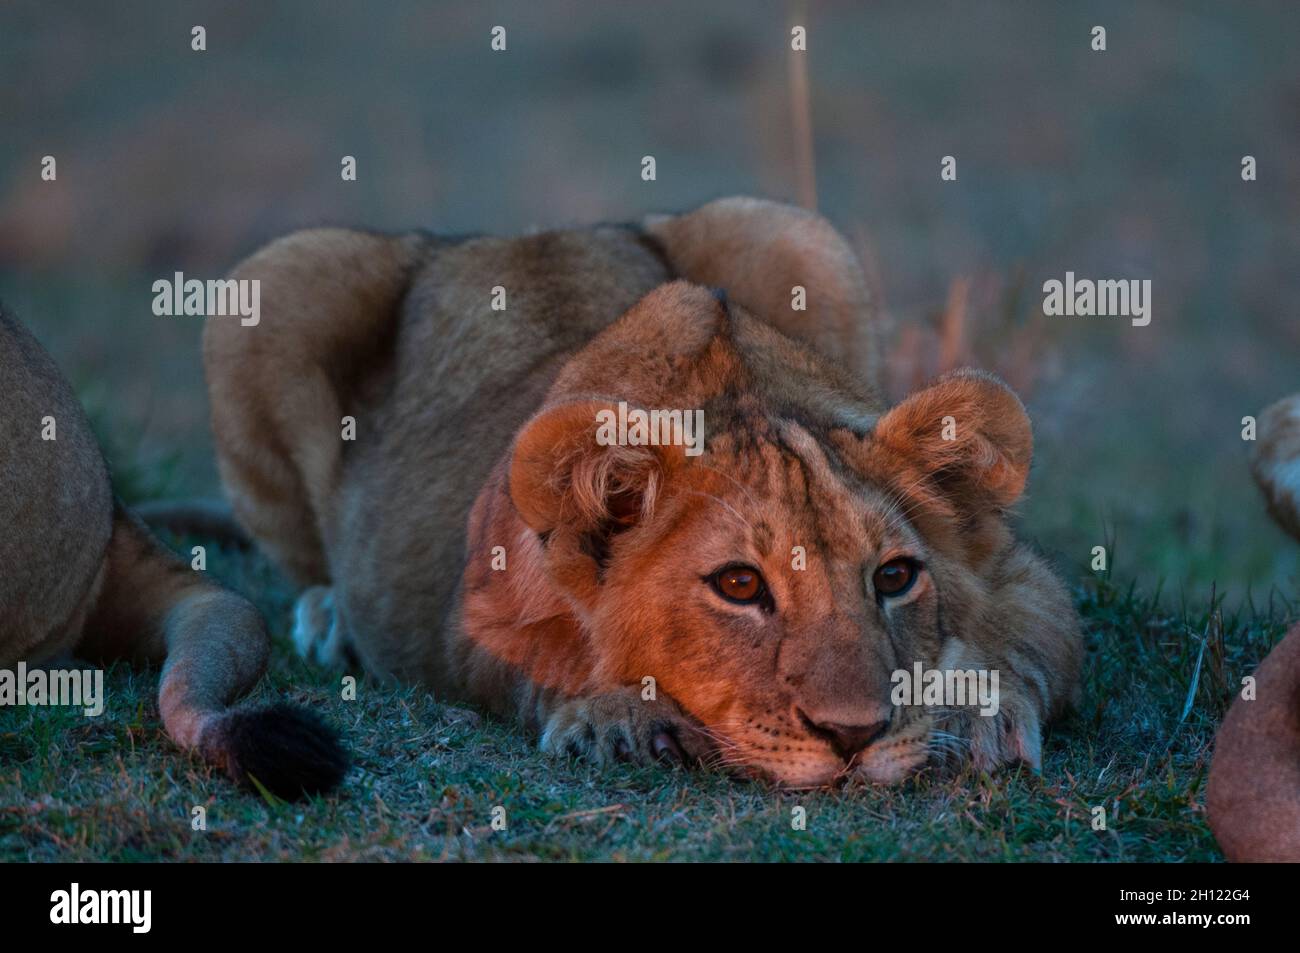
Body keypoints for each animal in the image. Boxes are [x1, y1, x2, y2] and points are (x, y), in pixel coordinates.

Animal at [204, 196, 1082, 787]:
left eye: (895, 577)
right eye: (740, 586)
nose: (854, 734)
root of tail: (530, 230)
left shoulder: (1020, 572)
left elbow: (1031, 634)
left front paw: (974, 715)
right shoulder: (474, 615)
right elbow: (549, 656)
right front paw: (617, 717)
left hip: (797, 236)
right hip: (271, 285)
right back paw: (328, 619)